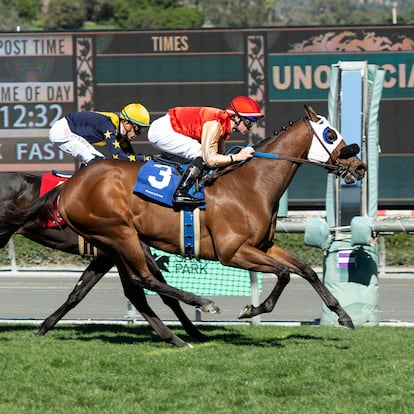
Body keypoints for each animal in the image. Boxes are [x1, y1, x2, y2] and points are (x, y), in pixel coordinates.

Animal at [0, 171, 207, 346]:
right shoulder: (132, 249)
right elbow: (152, 293)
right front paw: (192, 331)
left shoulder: (108, 257)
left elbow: (78, 294)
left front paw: (43, 328)